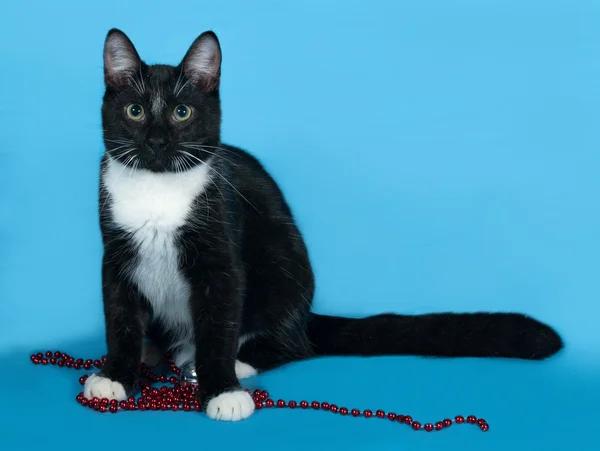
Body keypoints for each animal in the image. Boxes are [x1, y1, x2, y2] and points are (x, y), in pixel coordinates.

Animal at [84, 29, 564, 424]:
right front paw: (117, 374)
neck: (158, 189)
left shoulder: (221, 250)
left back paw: (234, 361)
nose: (157, 141)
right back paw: (153, 349)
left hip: (283, 269)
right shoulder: (116, 255)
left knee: (291, 343)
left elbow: (219, 324)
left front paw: (222, 389)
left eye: (182, 112)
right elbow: (120, 318)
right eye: (134, 111)